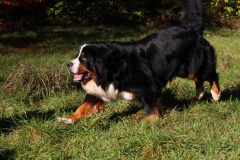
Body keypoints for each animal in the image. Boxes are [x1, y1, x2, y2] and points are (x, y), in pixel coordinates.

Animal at [58, 0, 221, 124]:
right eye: (77, 55)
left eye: (84, 58)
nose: (68, 64)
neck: (112, 68)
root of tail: (191, 28)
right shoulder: (100, 90)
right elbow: (84, 106)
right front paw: (68, 119)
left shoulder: (147, 87)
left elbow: (151, 109)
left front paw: (149, 122)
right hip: (185, 70)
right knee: (199, 79)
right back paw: (200, 93)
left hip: (196, 65)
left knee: (211, 75)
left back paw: (215, 94)